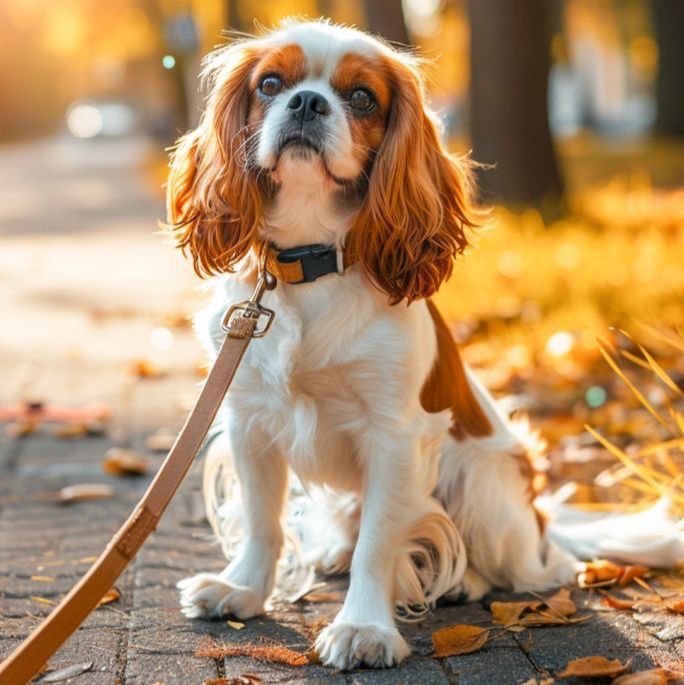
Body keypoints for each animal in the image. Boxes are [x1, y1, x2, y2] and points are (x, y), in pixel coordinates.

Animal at [164, 18, 576, 672]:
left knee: (519, 569)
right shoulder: (250, 420)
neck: (312, 263)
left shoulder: (395, 436)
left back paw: (460, 579)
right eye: (270, 84)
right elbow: (262, 518)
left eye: (362, 98)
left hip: (485, 485)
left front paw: (364, 627)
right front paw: (244, 588)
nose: (306, 102)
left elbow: (380, 543)